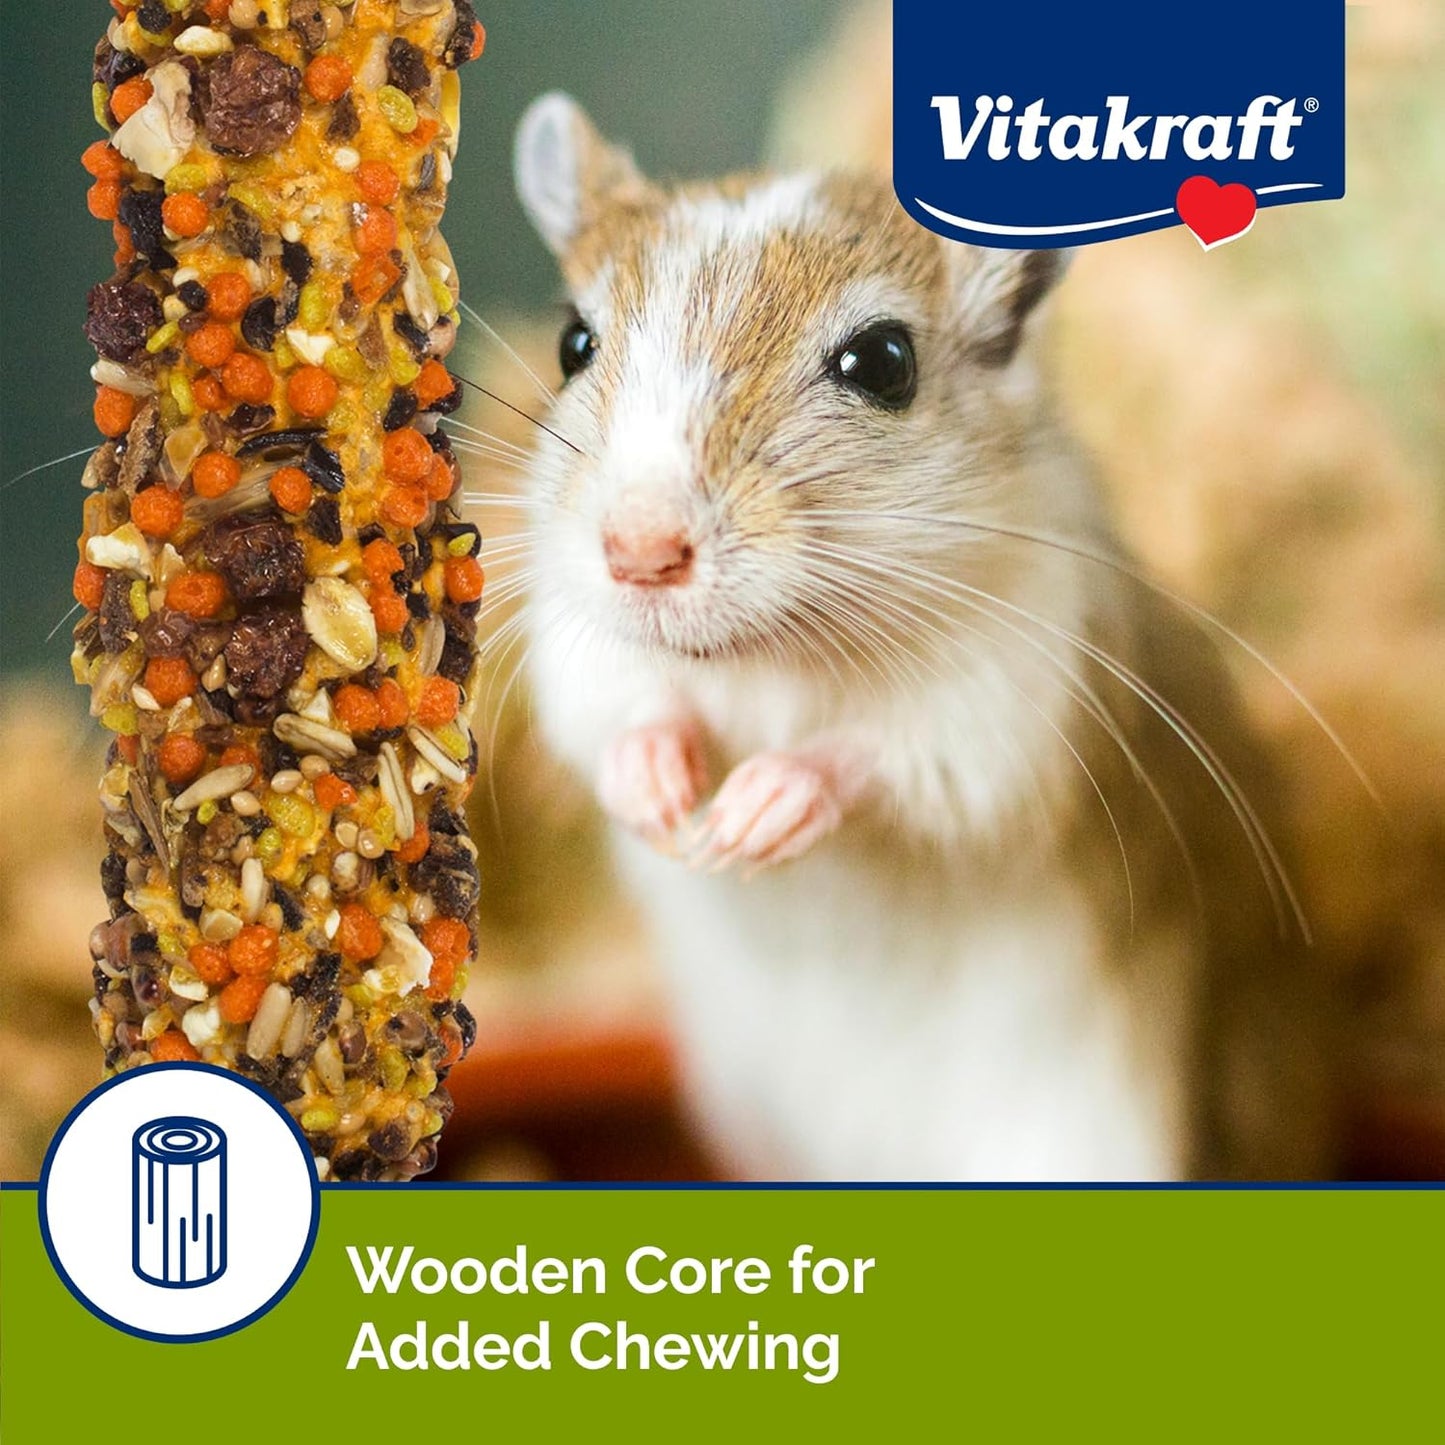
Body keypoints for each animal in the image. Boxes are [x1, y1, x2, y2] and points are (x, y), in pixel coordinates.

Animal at [505, 92, 1331, 1181]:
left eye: (882, 364)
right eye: (573, 343)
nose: (638, 553)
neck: (771, 656)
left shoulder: (1003, 708)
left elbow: (874, 755)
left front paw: (748, 820)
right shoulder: (580, 652)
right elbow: (620, 720)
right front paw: (667, 804)